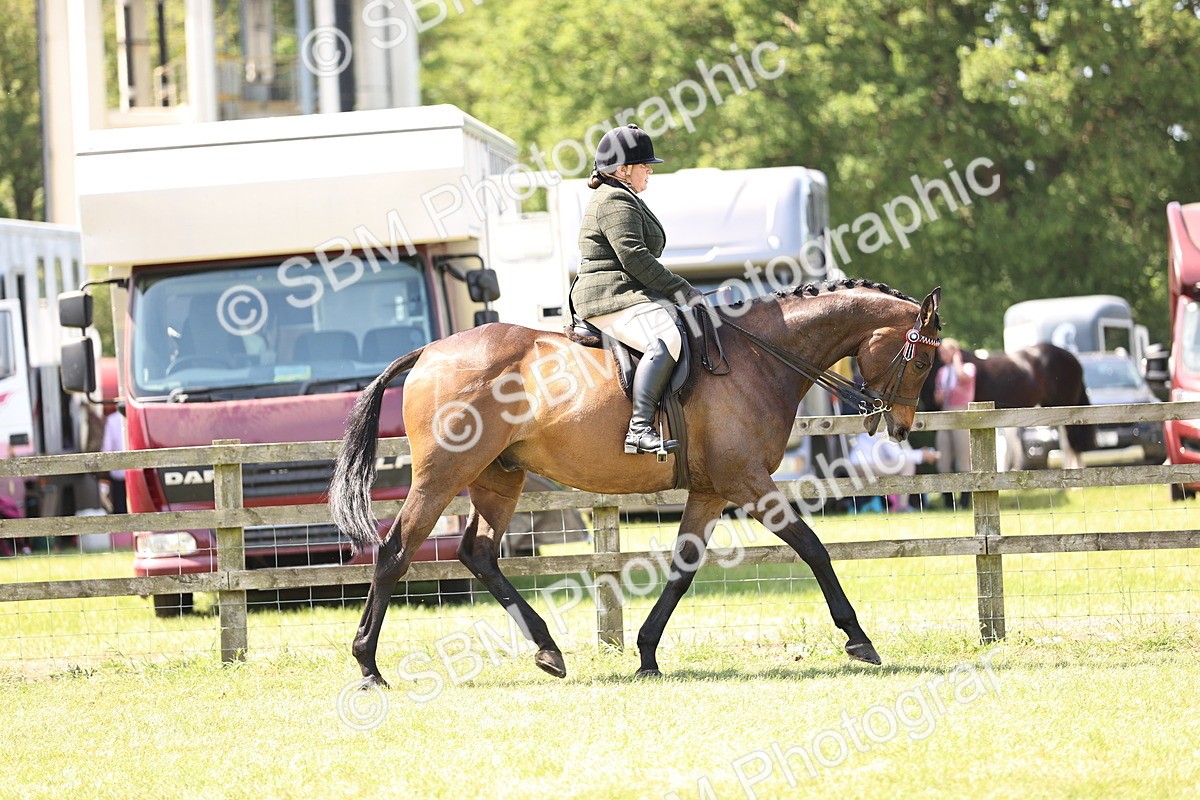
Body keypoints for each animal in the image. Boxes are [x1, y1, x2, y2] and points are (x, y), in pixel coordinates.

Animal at [330, 279, 943, 685]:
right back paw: (368, 665)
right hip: (443, 476)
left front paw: (647, 654)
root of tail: (429, 352)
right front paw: (858, 638)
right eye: (921, 364)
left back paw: (548, 651)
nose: (900, 426)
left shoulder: (712, 491)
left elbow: (682, 569)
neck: (759, 357)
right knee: (395, 551)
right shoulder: (748, 482)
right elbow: (814, 548)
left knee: (477, 553)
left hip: (498, 477)